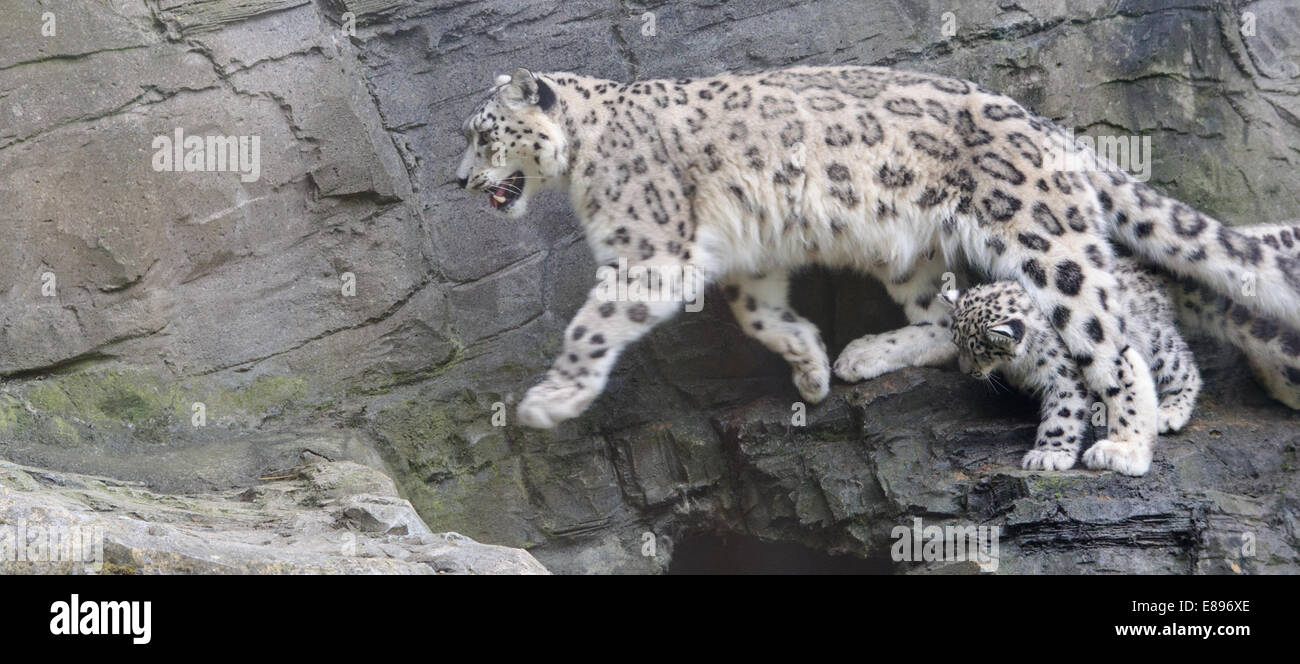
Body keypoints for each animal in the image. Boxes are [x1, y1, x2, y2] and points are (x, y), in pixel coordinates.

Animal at [941, 261, 1201, 478]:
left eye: (980, 351)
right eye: (956, 343)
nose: (965, 370)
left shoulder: (1065, 375)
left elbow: (1062, 414)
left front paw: (1048, 455)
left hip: (1153, 340)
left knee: (1183, 367)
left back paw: (1170, 412)